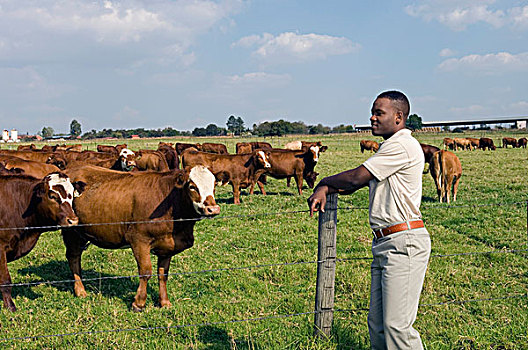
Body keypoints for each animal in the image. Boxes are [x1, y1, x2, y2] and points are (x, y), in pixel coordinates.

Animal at [0, 174, 84, 310]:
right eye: (52, 196)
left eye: (71, 195)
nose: (73, 220)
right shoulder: (1, 247)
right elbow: (5, 279)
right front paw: (10, 306)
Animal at [62, 165, 219, 310]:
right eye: (192, 186)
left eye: (214, 185)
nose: (213, 209)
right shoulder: (139, 240)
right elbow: (145, 272)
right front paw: (139, 303)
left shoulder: (167, 246)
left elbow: (163, 274)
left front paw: (164, 302)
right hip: (71, 231)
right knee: (73, 257)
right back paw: (80, 290)